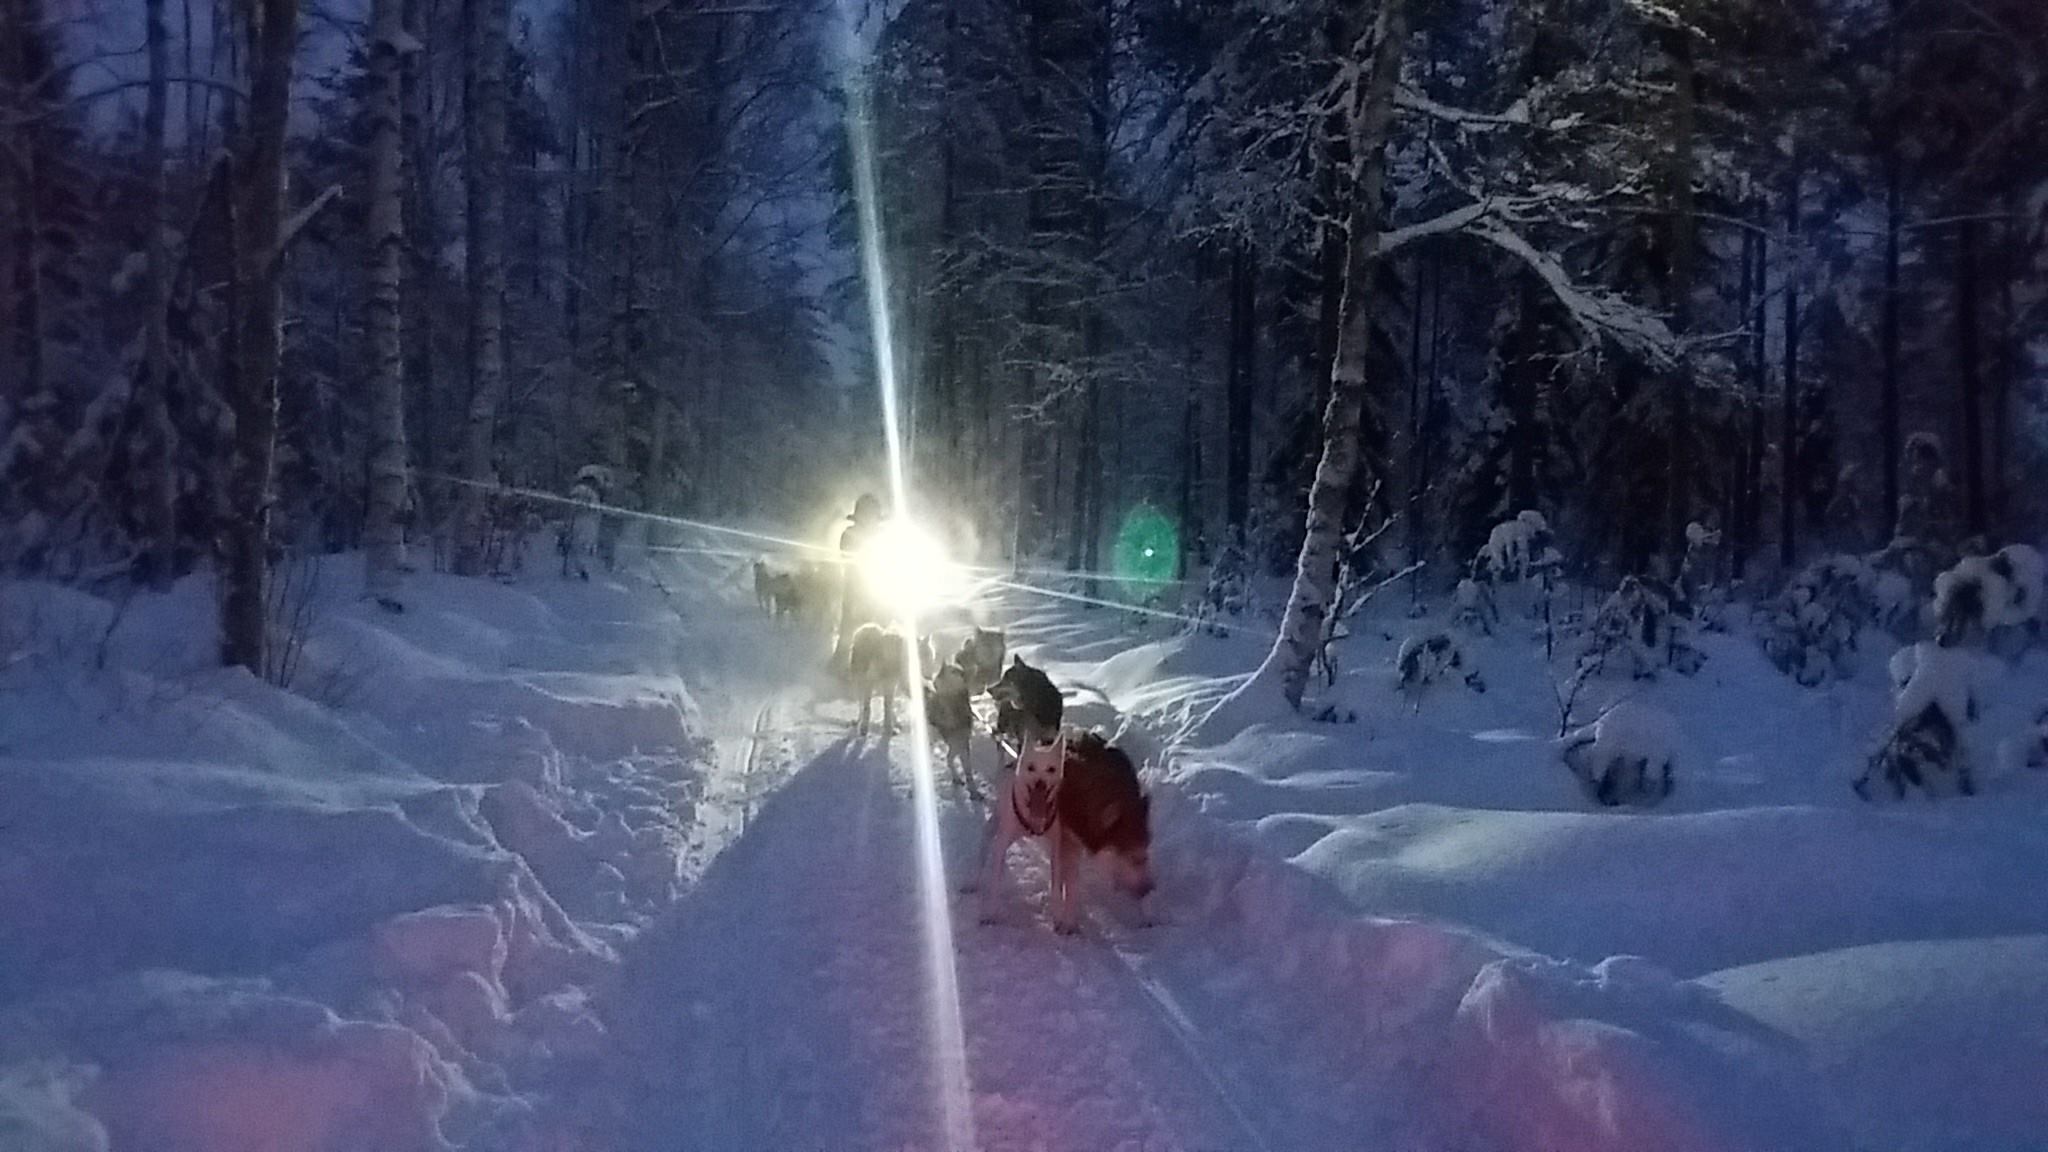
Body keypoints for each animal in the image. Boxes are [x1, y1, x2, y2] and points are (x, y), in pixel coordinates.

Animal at [974, 725, 1155, 934]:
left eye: (1145, 856)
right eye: (1133, 858)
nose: (1149, 889)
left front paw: (1145, 914)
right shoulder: (1069, 840)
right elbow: (1071, 884)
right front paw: (1069, 921)